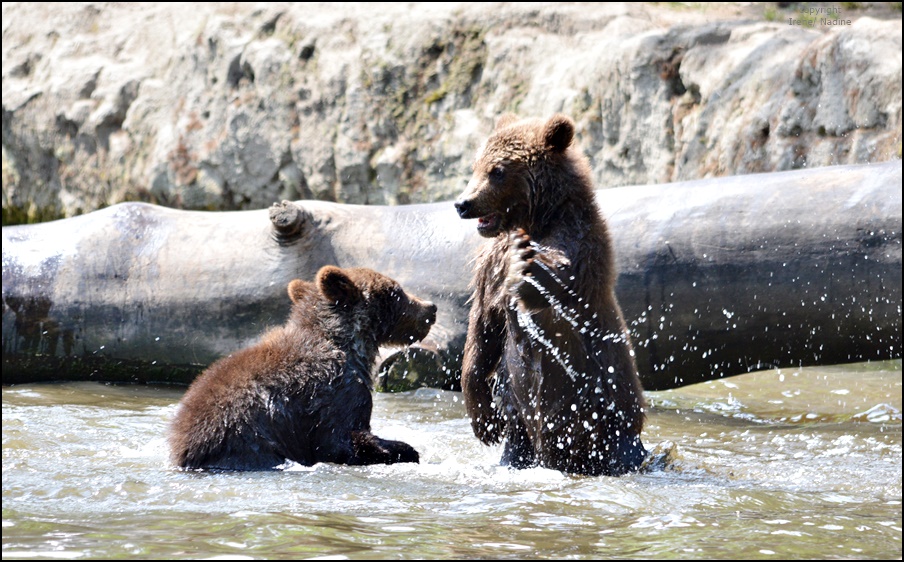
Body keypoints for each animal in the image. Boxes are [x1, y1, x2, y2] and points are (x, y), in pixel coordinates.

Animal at [172, 266, 438, 468]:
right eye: (397, 291)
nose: (431, 308)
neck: (348, 343)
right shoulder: (337, 393)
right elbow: (343, 441)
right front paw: (406, 450)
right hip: (246, 439)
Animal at [456, 112, 648, 472]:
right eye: (476, 165)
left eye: (497, 170)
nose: (463, 203)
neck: (537, 219)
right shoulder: (490, 265)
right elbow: (483, 327)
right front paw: (484, 420)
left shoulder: (580, 242)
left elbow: (561, 280)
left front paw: (524, 265)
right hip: (522, 424)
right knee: (517, 439)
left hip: (607, 410)